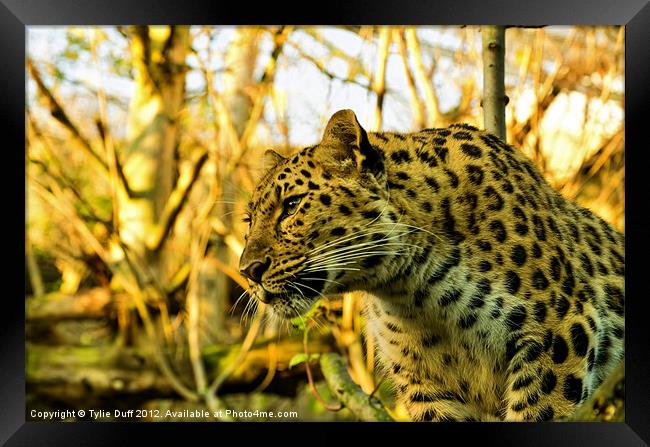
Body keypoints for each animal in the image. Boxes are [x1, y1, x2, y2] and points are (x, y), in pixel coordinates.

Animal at [238, 109, 624, 424]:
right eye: (248, 220)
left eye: (292, 206)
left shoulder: (558, 333)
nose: (248, 271)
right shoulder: (425, 383)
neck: (414, 290)